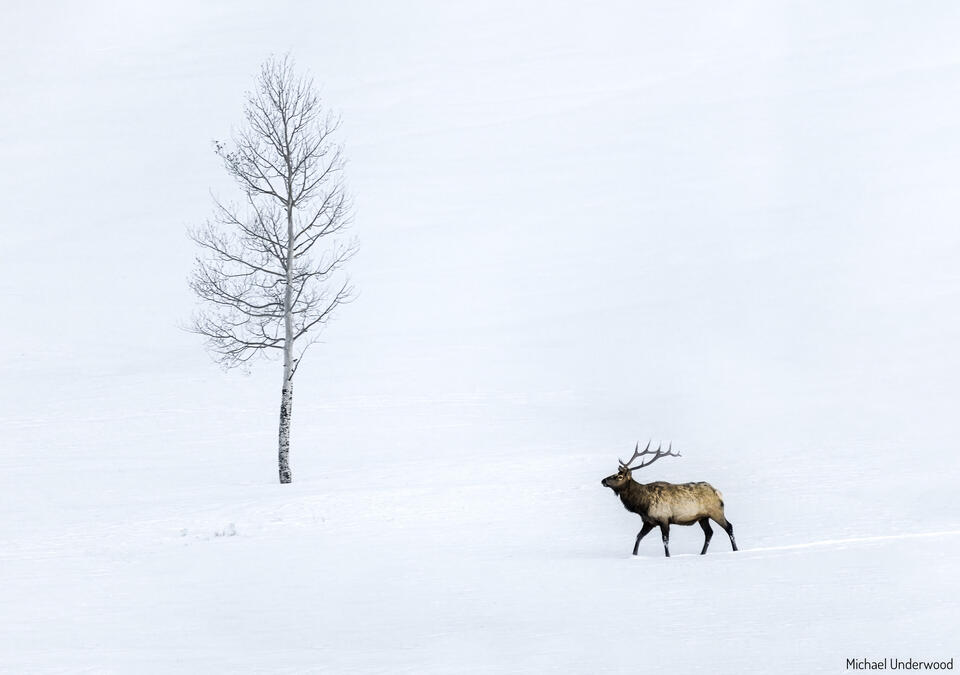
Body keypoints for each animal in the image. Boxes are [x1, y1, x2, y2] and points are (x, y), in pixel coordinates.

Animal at [601, 441, 737, 557]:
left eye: (619, 476)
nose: (603, 480)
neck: (642, 505)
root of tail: (717, 492)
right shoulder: (649, 521)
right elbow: (638, 536)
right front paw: (634, 555)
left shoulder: (664, 518)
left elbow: (665, 540)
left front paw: (668, 556)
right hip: (703, 517)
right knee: (709, 533)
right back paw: (702, 553)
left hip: (716, 511)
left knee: (729, 527)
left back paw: (735, 550)